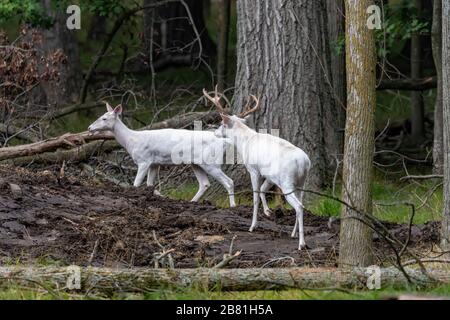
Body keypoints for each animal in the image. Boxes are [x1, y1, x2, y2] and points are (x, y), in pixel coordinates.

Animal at [87, 102, 236, 208]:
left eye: (104, 118)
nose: (89, 128)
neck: (131, 141)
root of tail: (225, 142)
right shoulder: (155, 163)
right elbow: (149, 185)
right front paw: (160, 196)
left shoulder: (144, 160)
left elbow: (136, 184)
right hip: (196, 163)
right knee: (204, 184)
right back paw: (192, 202)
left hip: (211, 162)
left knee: (229, 181)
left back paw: (233, 206)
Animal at [203, 87, 312, 250]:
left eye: (222, 123)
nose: (215, 132)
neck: (245, 142)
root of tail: (304, 162)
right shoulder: (268, 174)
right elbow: (262, 189)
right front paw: (268, 212)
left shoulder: (253, 169)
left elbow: (255, 195)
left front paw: (252, 226)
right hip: (301, 182)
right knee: (301, 202)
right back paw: (293, 234)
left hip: (287, 182)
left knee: (299, 206)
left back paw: (301, 243)